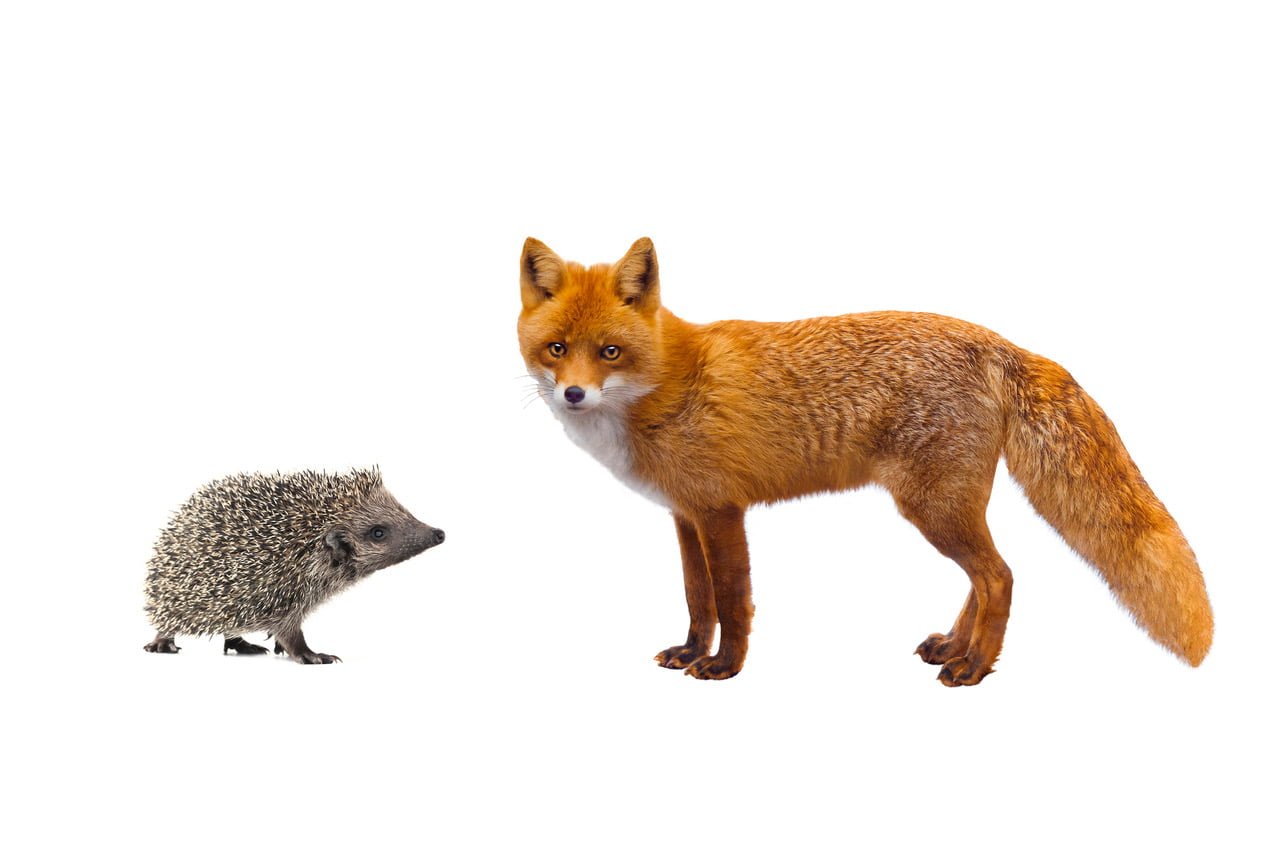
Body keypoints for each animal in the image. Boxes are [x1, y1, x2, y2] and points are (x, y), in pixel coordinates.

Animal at [517, 236, 1213, 685]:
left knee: (1000, 577)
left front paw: (725, 667)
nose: (574, 394)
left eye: (610, 352)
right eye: (557, 349)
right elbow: (697, 598)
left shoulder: (721, 511)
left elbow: (733, 600)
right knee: (984, 578)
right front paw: (691, 653)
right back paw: (955, 648)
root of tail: (997, 340)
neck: (663, 383)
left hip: (932, 508)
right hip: (948, 509)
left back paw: (975, 667)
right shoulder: (686, 515)